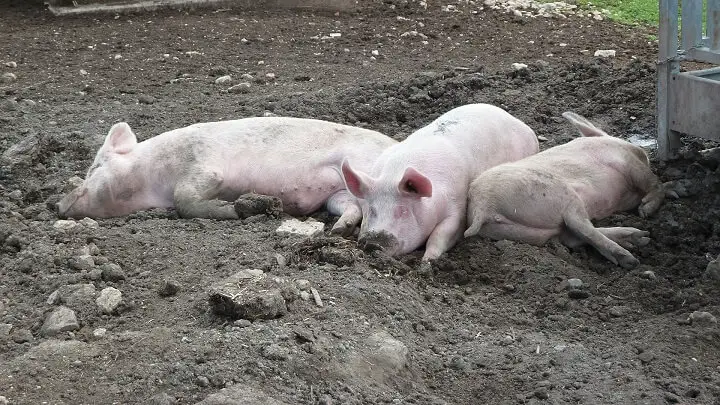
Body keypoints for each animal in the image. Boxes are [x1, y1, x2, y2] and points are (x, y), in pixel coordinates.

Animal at [55, 115, 396, 234]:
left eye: (95, 167)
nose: (56, 205)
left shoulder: (204, 166)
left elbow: (186, 197)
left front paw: (233, 210)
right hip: (338, 195)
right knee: (352, 209)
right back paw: (337, 230)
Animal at [340, 104, 536, 260]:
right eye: (372, 210)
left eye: (403, 211)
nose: (373, 244)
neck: (393, 175)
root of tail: (524, 126)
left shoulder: (457, 207)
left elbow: (440, 234)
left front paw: (427, 261)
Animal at [464, 110, 668, 268]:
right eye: (642, 155)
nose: (644, 154)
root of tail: (483, 205)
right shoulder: (626, 162)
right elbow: (654, 181)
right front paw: (645, 211)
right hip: (561, 194)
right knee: (581, 227)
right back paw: (630, 258)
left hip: (525, 231)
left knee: (572, 236)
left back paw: (640, 238)